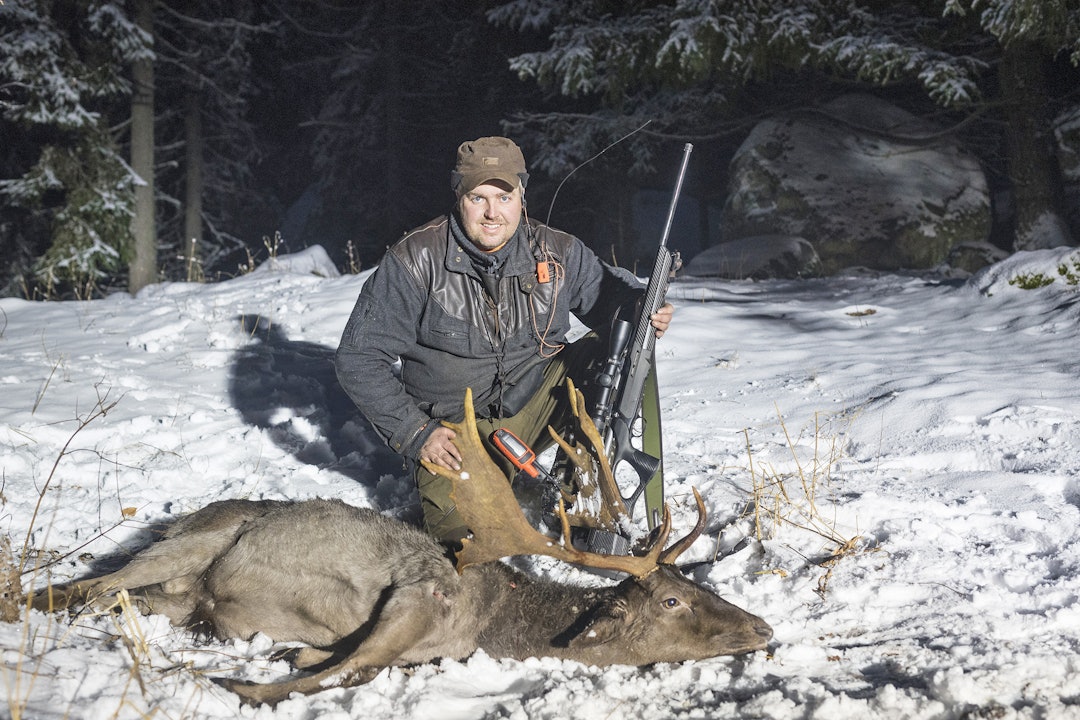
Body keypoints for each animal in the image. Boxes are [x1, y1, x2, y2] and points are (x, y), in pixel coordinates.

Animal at [29, 386, 773, 708]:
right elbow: (343, 671)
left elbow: (347, 663)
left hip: (178, 594)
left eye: (700, 584)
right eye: (674, 601)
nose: (762, 627)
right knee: (89, 584)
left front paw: (289, 652)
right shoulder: (418, 593)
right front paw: (242, 683)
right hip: (194, 540)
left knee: (130, 595)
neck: (491, 619)